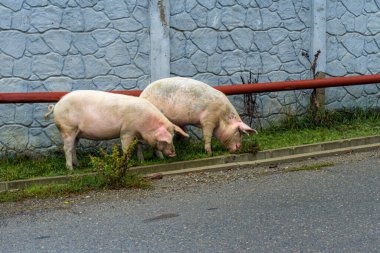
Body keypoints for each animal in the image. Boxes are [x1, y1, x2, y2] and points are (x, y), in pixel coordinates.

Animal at [46, 90, 189, 169]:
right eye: (165, 140)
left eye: (173, 136)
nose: (173, 154)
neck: (145, 125)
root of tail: (56, 105)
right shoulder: (127, 131)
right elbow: (126, 148)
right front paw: (127, 162)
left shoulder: (136, 134)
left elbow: (138, 147)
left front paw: (142, 161)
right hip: (68, 128)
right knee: (67, 148)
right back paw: (70, 169)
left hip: (76, 132)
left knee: (73, 147)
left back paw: (79, 165)